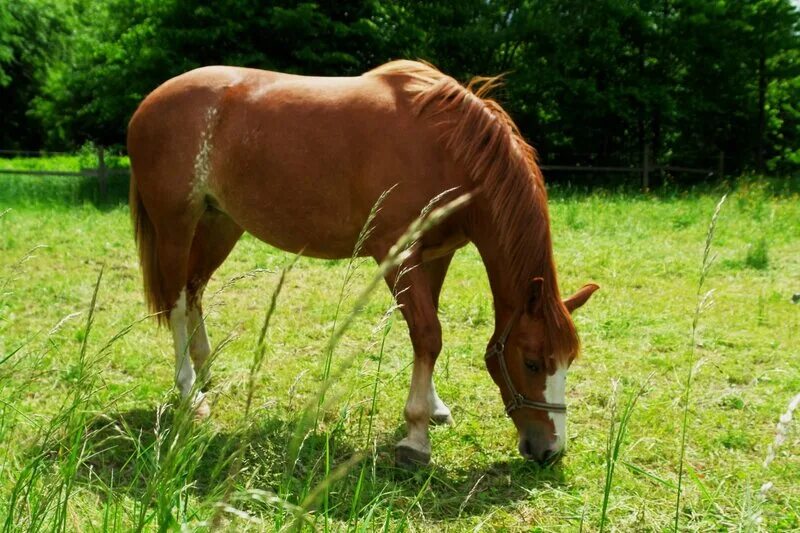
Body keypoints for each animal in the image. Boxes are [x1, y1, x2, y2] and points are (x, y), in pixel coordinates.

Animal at [128, 59, 596, 466]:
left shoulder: (437, 255)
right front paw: (415, 438)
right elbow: (428, 335)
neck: (447, 150)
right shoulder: (396, 254)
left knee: (194, 292)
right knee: (176, 303)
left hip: (219, 224)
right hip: (177, 226)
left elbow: (427, 334)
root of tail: (148, 105)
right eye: (532, 361)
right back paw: (190, 393)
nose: (550, 450)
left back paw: (206, 371)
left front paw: (434, 408)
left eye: (568, 360)